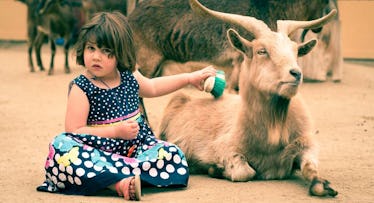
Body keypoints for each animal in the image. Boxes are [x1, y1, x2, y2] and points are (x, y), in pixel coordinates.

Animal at [159, 0, 340, 197]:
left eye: (295, 51)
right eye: (262, 51)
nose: (296, 73)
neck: (273, 134)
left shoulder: (307, 143)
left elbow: (311, 169)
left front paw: (323, 184)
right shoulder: (224, 146)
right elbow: (244, 172)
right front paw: (216, 169)